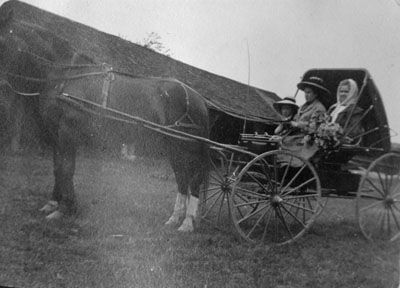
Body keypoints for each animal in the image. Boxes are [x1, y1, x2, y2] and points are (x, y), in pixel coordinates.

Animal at [0, 7, 211, 232]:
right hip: (173, 145)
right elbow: (57, 167)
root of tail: (199, 99)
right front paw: (53, 203)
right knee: (181, 177)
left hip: (186, 145)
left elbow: (67, 168)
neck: (65, 77)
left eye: (2, 40)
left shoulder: (67, 131)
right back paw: (175, 218)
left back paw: (187, 222)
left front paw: (65, 209)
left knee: (194, 179)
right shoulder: (56, 133)